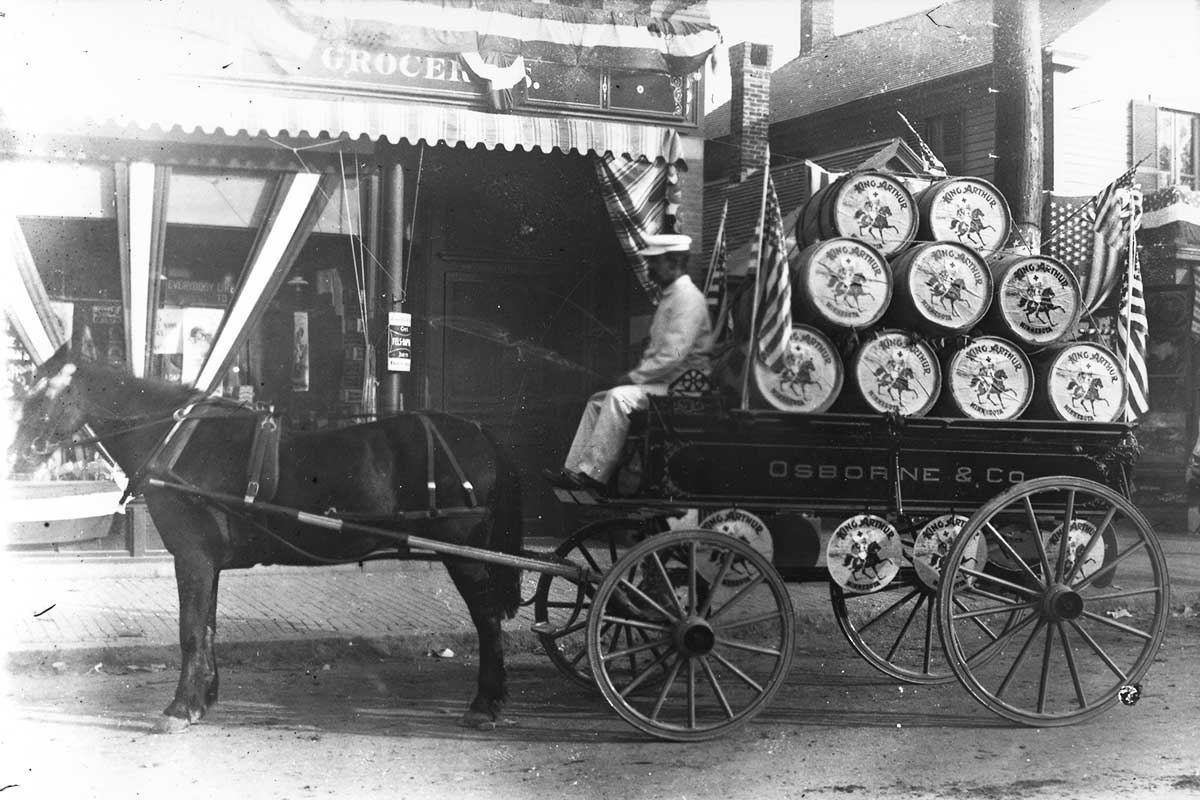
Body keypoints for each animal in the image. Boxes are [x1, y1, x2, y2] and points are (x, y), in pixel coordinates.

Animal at [8, 347, 525, 734]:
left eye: (47, 390)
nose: (16, 452)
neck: (175, 441)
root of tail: (478, 430)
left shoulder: (192, 558)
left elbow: (190, 631)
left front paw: (179, 708)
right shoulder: (206, 562)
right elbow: (208, 627)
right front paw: (202, 700)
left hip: (465, 556)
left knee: (486, 621)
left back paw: (485, 703)